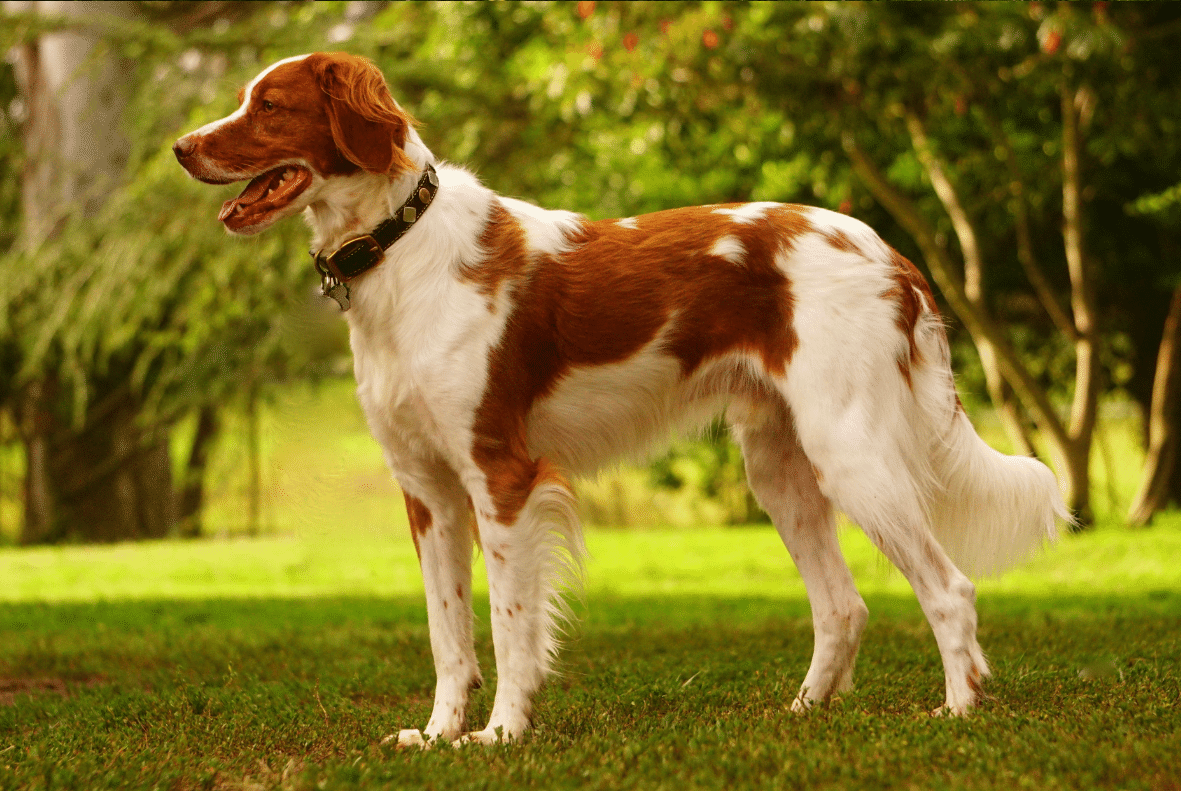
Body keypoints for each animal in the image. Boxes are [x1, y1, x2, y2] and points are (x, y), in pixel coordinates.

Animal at [177, 52, 1072, 746]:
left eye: (269, 104)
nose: (180, 148)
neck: (400, 248)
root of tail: (889, 250)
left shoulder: (501, 475)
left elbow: (507, 622)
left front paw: (501, 732)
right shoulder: (426, 490)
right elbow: (447, 632)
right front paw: (437, 733)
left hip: (850, 454)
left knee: (948, 587)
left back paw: (956, 711)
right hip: (779, 467)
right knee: (843, 605)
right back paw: (803, 711)